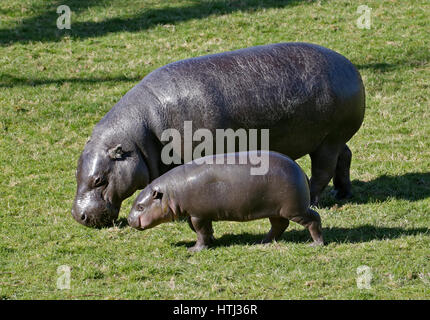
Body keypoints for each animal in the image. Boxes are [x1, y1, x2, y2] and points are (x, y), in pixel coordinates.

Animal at [72, 42, 364, 228]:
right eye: (77, 173)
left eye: (99, 180)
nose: (78, 216)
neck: (140, 134)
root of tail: (351, 67)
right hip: (333, 139)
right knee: (345, 157)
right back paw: (343, 193)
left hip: (328, 141)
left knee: (322, 171)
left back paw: (317, 200)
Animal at [127, 151, 322, 251]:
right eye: (135, 203)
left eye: (140, 206)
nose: (128, 219)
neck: (171, 192)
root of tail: (300, 170)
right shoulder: (197, 214)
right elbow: (202, 230)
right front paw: (212, 239)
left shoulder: (198, 215)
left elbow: (199, 231)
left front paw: (195, 249)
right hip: (276, 210)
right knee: (279, 225)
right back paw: (262, 242)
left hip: (294, 209)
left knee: (314, 219)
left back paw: (316, 244)